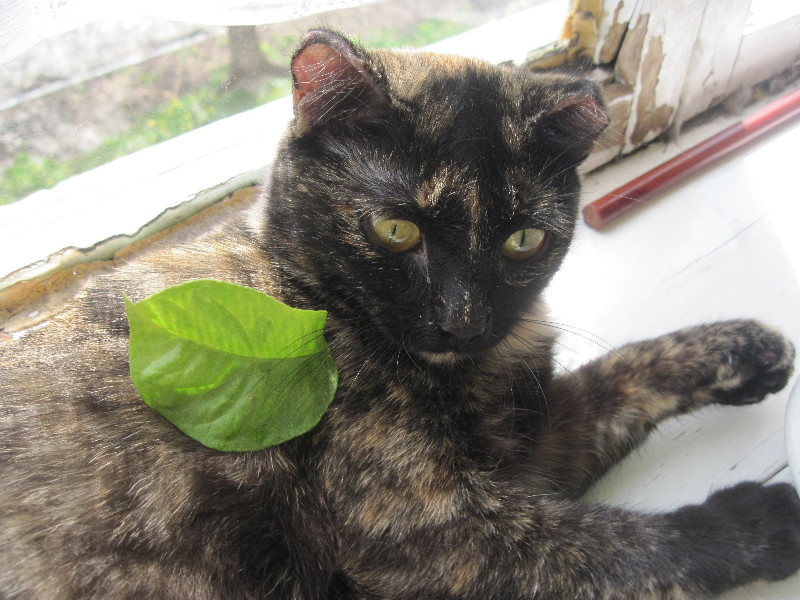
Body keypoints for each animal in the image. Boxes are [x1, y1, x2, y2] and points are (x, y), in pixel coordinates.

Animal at [0, 28, 799, 599]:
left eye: (523, 239)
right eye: (396, 230)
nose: (461, 318)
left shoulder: (532, 445)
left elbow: (623, 372)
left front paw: (746, 349)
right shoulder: (430, 534)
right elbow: (621, 549)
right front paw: (756, 523)